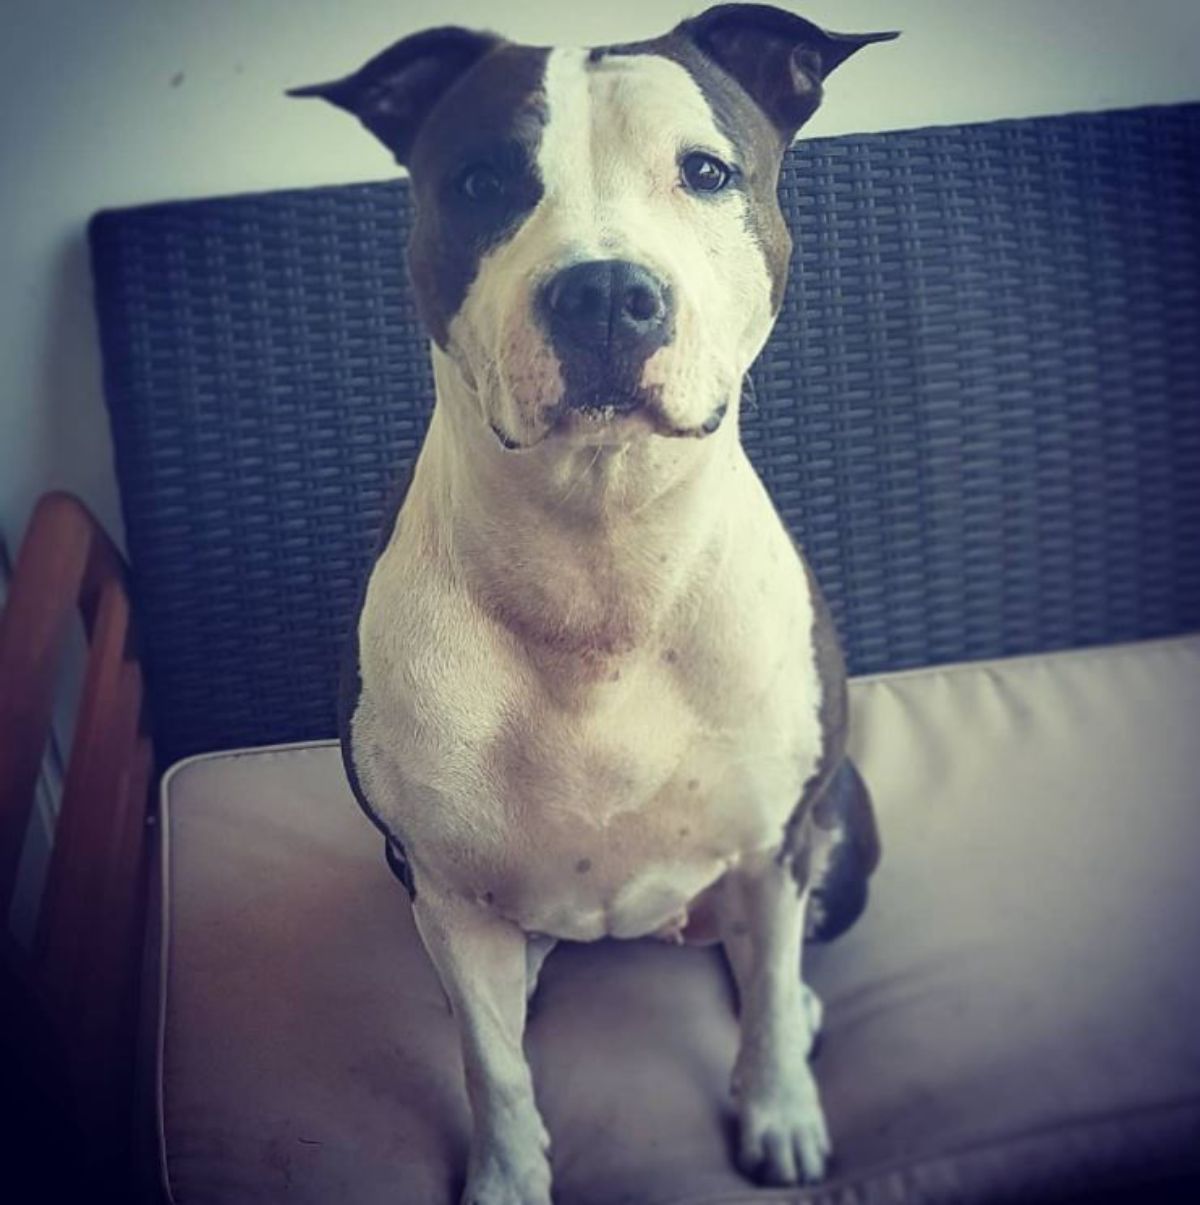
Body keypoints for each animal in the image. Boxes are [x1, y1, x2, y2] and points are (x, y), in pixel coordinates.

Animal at [290, 4, 891, 1200]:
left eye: (705, 171)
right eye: (482, 180)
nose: (606, 292)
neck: (602, 557)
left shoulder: (776, 841)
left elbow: (764, 1000)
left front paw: (780, 1109)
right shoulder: (439, 883)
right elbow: (492, 1063)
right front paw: (507, 1175)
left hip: (838, 828)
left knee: (769, 951)